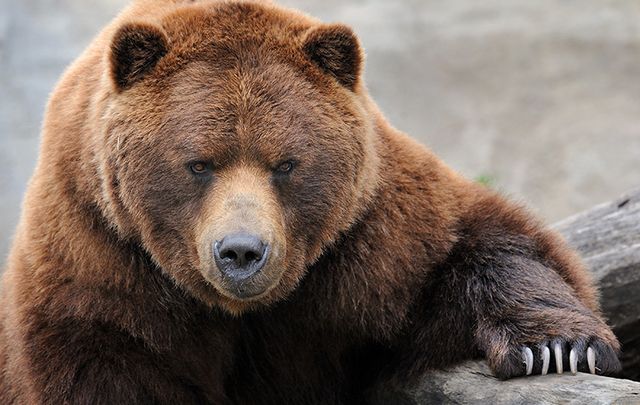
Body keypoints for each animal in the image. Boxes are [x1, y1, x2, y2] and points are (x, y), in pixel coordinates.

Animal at [0, 0, 620, 402]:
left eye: (286, 164)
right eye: (199, 164)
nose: (242, 253)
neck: (245, 311)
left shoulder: (367, 239)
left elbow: (477, 246)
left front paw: (558, 348)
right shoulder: (101, 260)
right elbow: (107, 363)